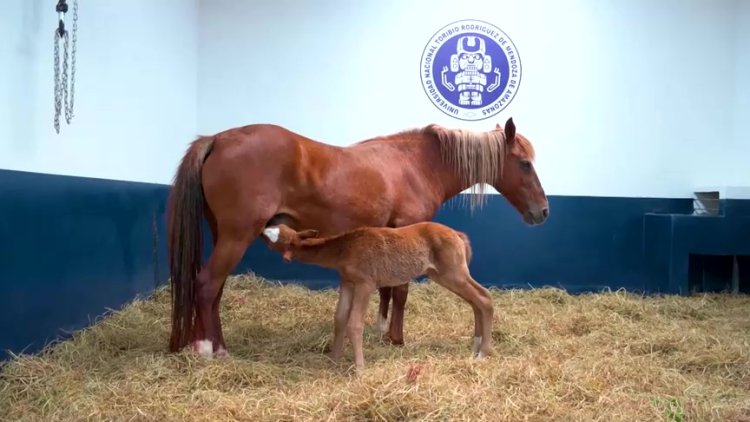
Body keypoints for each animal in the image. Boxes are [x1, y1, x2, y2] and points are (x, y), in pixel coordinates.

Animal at [167, 117, 548, 358]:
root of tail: (218, 139)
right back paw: (208, 351)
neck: (416, 163)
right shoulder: (408, 229)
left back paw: (217, 345)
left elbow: (387, 289)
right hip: (236, 236)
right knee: (206, 286)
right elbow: (401, 291)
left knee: (214, 291)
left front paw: (381, 329)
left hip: (223, 234)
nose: (543, 212)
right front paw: (396, 338)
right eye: (524, 163)